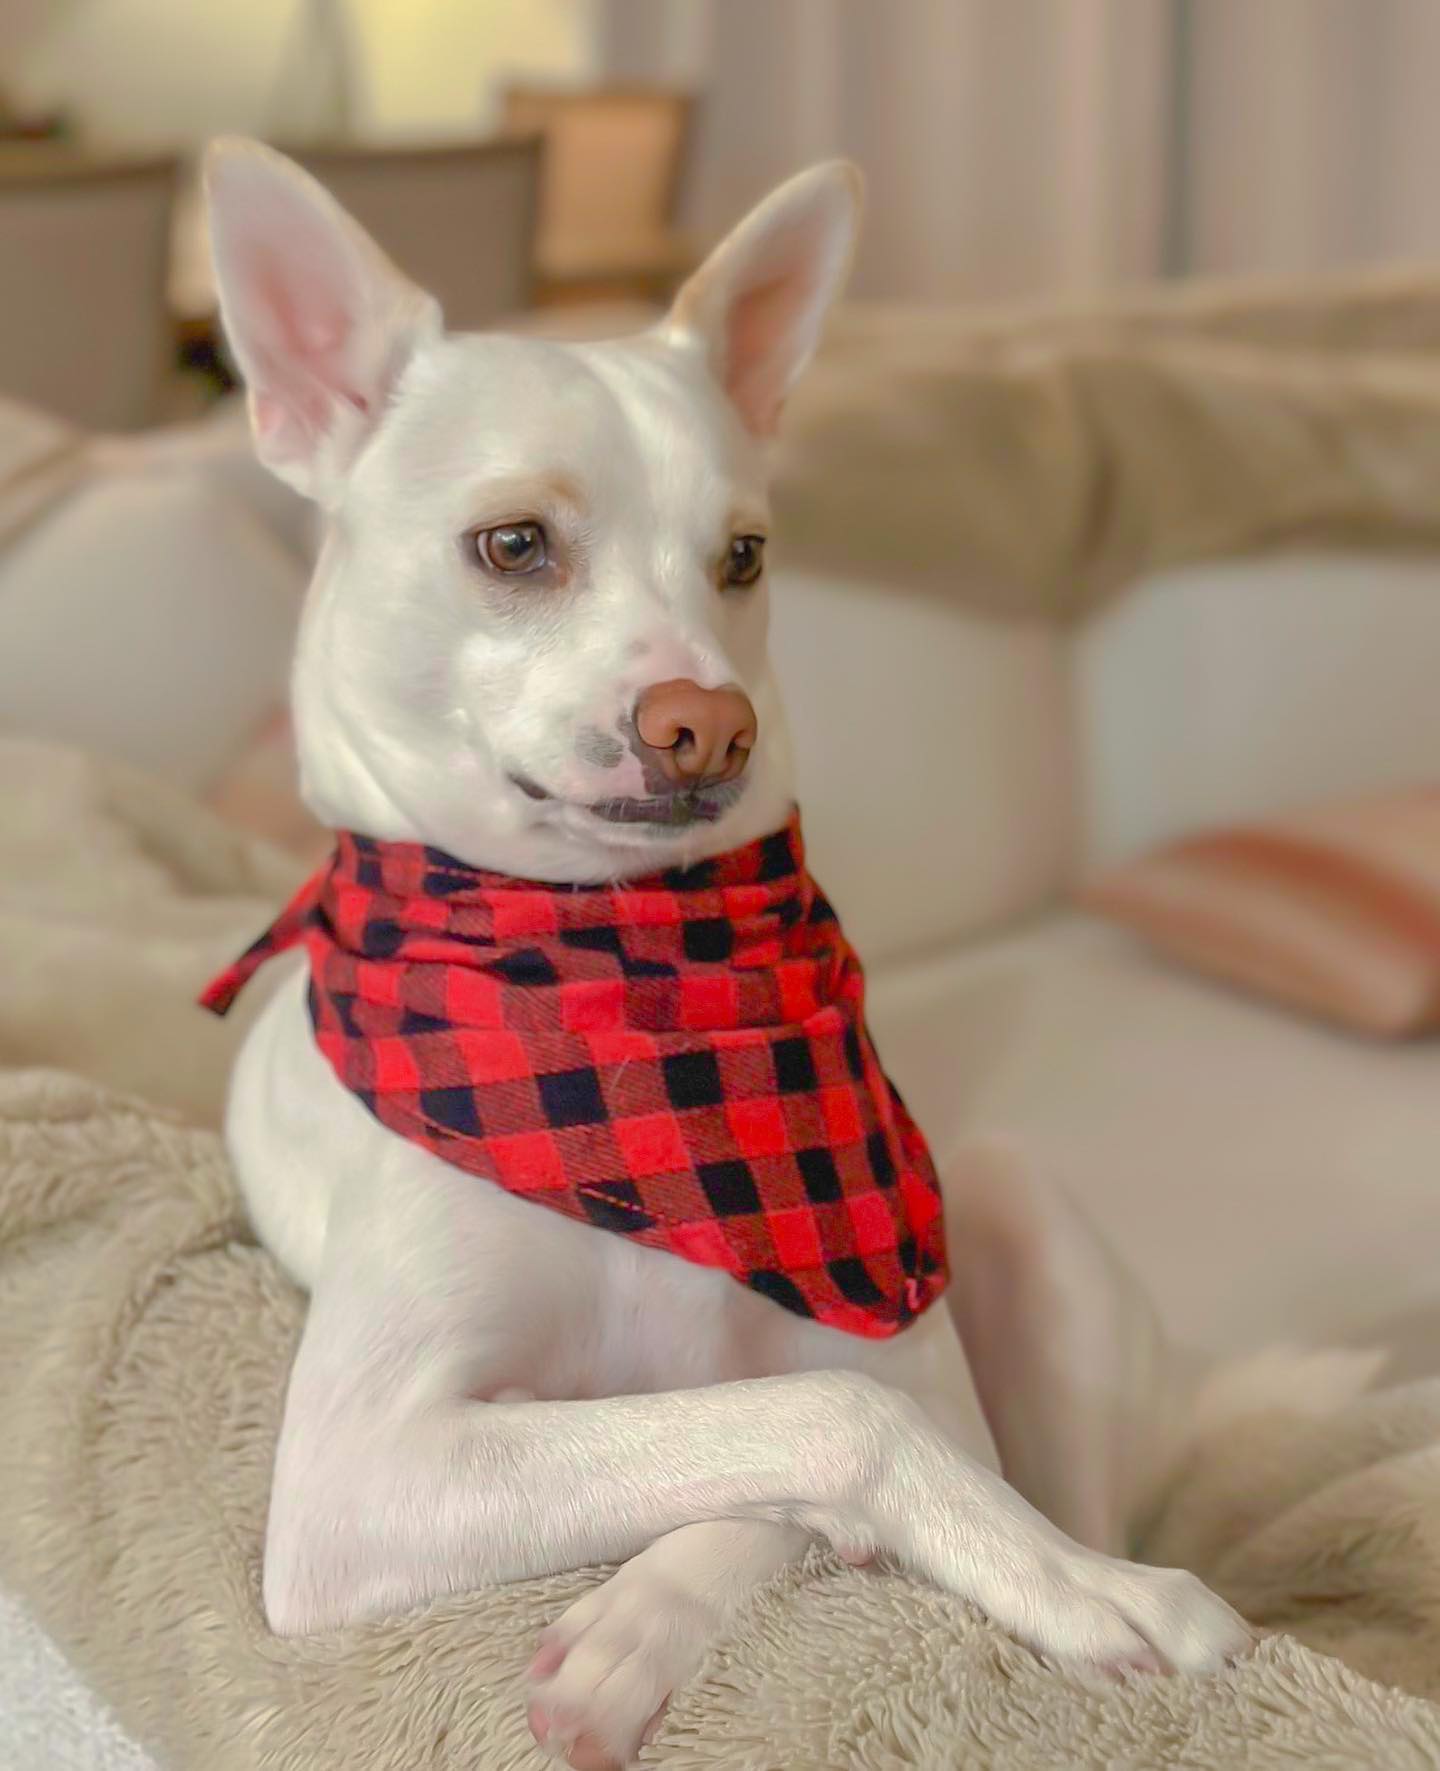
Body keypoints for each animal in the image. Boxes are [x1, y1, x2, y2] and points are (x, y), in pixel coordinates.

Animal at [199, 141, 1246, 1771]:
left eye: (743, 557)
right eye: (515, 544)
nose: (709, 723)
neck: (616, 983)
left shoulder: (911, 1359)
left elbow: (819, 1430)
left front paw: (654, 1615)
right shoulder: (363, 1471)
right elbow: (817, 1423)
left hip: (1014, 1202)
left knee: (1068, 1473)